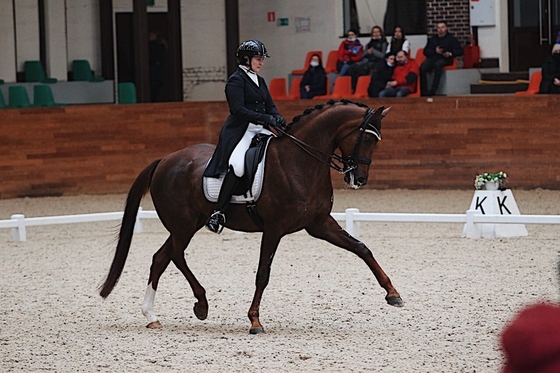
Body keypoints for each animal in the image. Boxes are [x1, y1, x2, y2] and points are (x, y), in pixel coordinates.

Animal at [99, 99, 402, 334]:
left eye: (376, 140)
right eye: (366, 138)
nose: (358, 179)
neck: (300, 161)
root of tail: (164, 160)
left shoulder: (319, 224)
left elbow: (361, 248)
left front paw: (393, 294)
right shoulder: (274, 229)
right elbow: (262, 274)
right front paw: (255, 321)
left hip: (189, 224)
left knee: (162, 258)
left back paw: (157, 314)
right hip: (182, 226)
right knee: (174, 255)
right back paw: (197, 304)